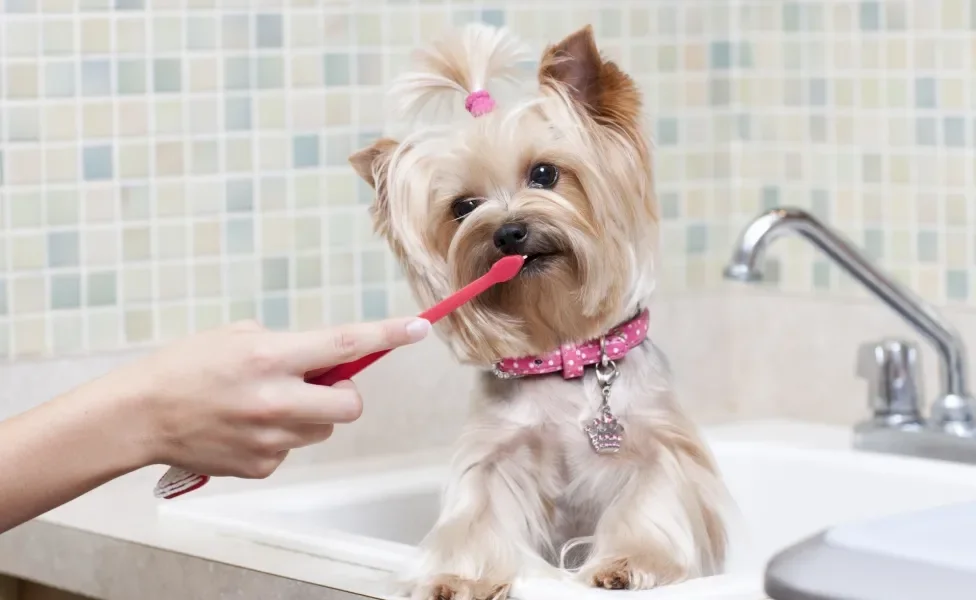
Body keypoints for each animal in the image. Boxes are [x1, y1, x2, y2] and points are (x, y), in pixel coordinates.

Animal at [348, 24, 724, 600]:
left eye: (545, 174)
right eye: (463, 207)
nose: (508, 232)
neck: (562, 353)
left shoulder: (657, 447)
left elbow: (649, 501)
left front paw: (625, 565)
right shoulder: (494, 457)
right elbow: (477, 518)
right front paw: (458, 577)